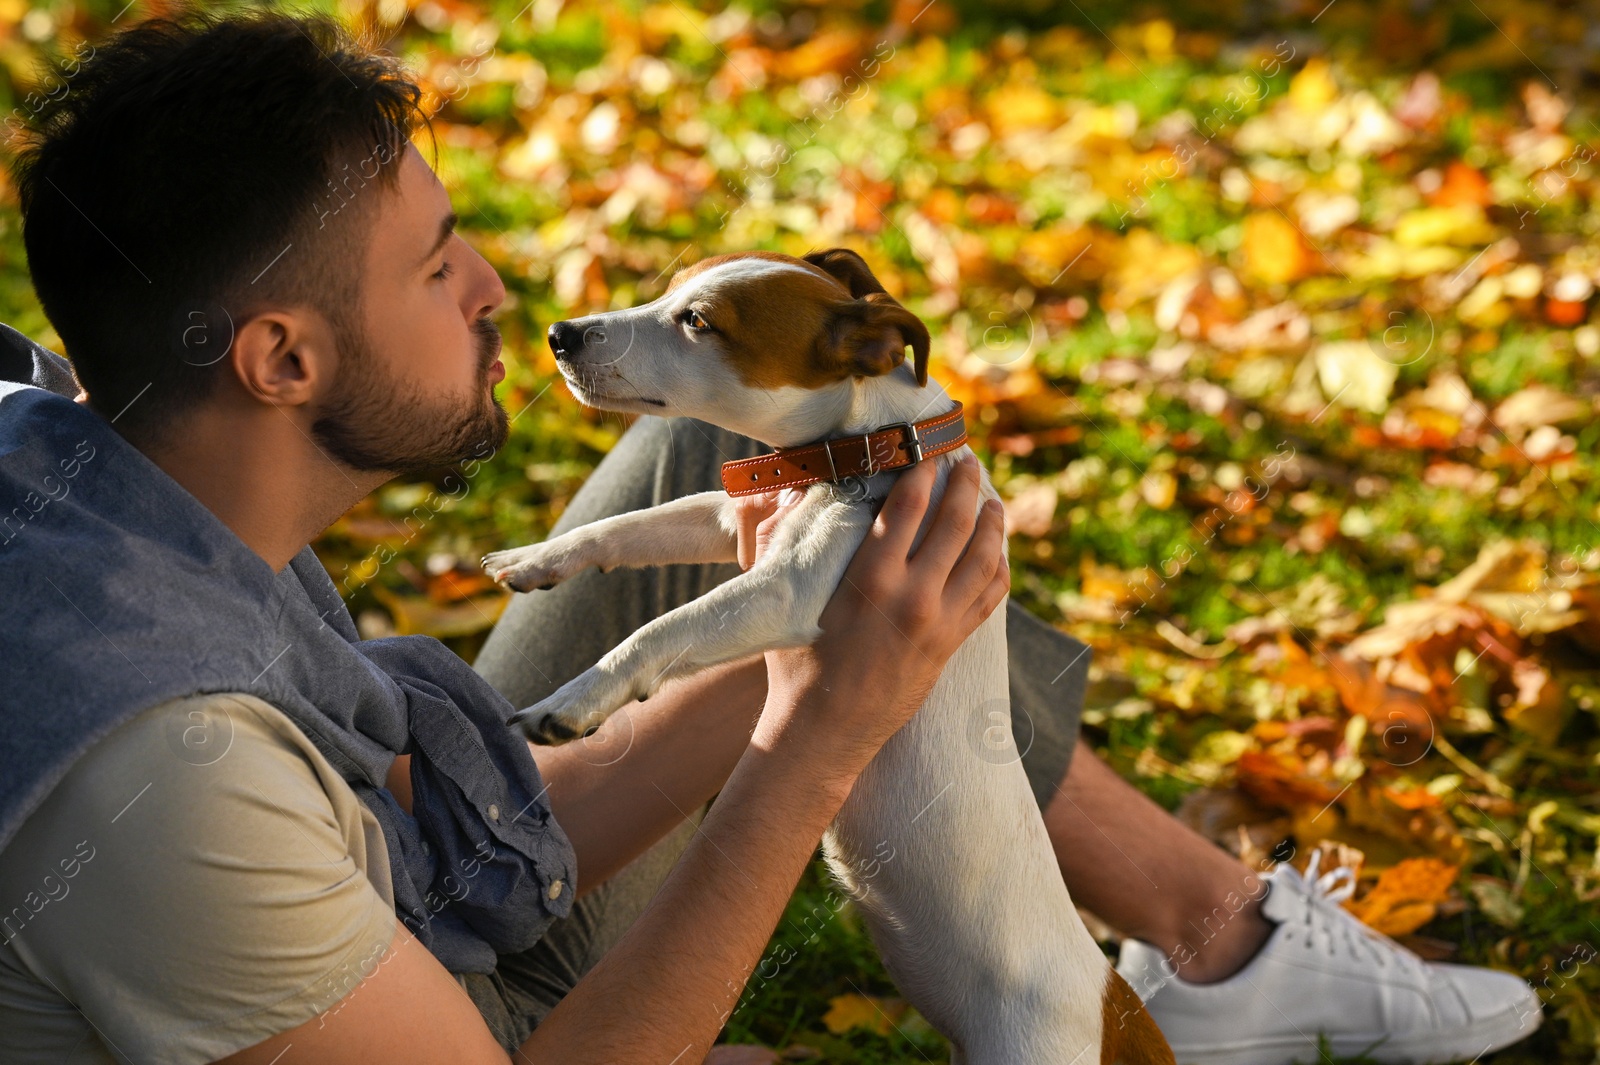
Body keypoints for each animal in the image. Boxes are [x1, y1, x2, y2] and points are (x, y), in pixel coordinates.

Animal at [480, 249, 1171, 1061]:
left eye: (699, 321)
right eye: (669, 288)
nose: (559, 334)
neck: (870, 439)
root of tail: (1114, 1005)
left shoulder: (787, 591)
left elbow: (665, 628)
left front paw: (573, 699)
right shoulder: (730, 517)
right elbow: (635, 526)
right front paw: (536, 558)